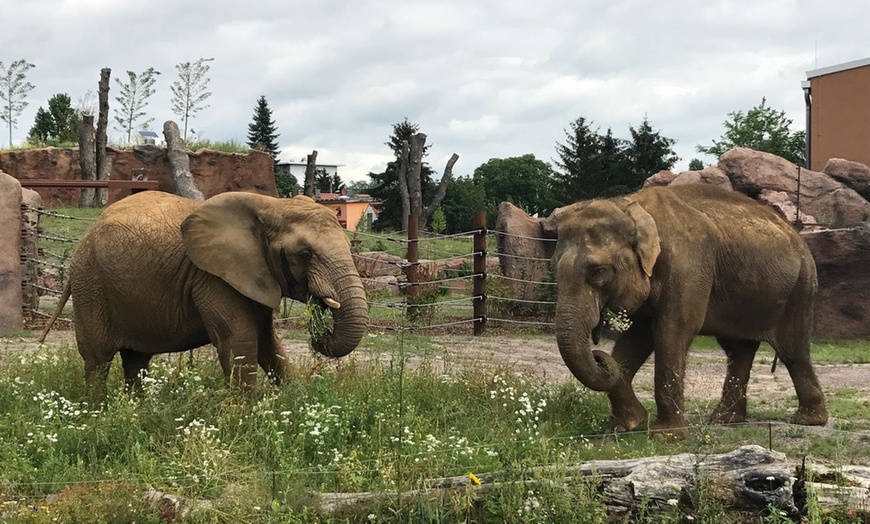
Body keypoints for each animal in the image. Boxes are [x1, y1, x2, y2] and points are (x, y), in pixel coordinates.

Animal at [40, 190, 368, 396]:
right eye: (304, 255)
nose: (320, 327)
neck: (271, 205)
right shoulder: (212, 276)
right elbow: (240, 339)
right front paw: (245, 417)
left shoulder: (255, 273)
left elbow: (267, 341)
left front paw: (294, 402)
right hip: (90, 283)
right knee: (98, 359)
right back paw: (99, 419)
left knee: (136, 360)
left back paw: (137, 414)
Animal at [552, 184, 832, 438]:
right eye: (554, 269)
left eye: (598, 271)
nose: (598, 354)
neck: (631, 206)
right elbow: (636, 338)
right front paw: (626, 425)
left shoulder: (688, 265)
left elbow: (672, 332)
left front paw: (666, 436)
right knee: (738, 351)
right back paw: (724, 420)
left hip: (801, 287)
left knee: (792, 351)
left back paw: (807, 420)